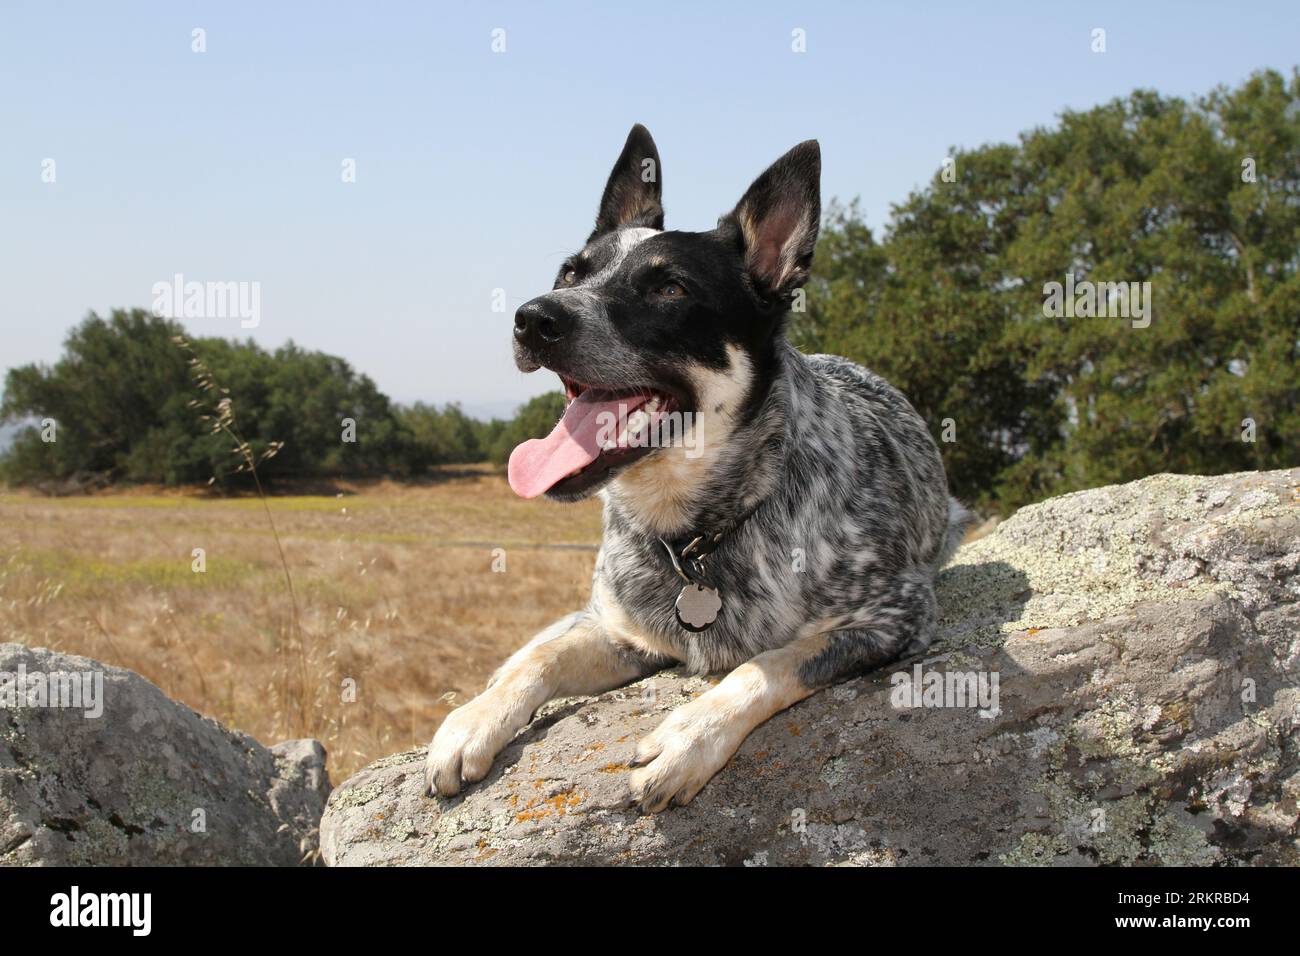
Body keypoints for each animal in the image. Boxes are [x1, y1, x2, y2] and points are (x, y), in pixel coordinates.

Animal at [421, 125, 972, 816]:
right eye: (569, 273)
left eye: (670, 290)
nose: (534, 317)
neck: (695, 534)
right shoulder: (621, 632)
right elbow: (540, 658)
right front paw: (475, 718)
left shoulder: (896, 613)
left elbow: (773, 664)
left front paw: (688, 736)